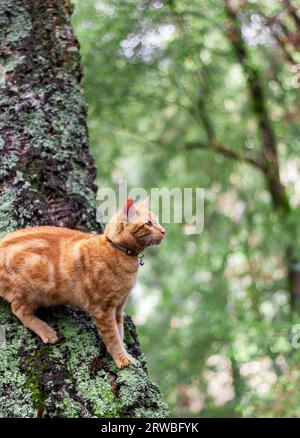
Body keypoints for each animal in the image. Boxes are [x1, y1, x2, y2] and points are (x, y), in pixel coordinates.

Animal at [0, 200, 165, 368]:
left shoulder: (119, 307)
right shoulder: (103, 309)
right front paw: (121, 358)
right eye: (149, 224)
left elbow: (119, 331)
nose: (163, 231)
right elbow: (113, 336)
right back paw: (46, 331)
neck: (119, 251)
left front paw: (127, 355)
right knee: (19, 310)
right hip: (33, 290)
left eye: (157, 222)